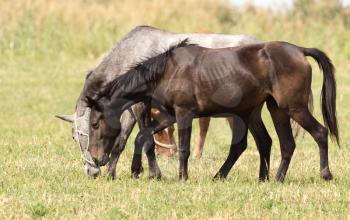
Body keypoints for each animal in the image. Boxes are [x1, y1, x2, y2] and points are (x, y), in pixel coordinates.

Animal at [56, 25, 264, 177]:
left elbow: (143, 139)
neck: (130, 56)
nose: (92, 170)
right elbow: (126, 139)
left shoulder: (140, 106)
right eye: (74, 137)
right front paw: (120, 172)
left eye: (86, 131)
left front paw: (152, 173)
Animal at [86, 40, 338, 181]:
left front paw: (182, 178)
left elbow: (184, 148)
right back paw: (268, 178)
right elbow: (142, 136)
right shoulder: (169, 115)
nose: (96, 158)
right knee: (279, 143)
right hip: (270, 110)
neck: (167, 71)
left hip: (293, 107)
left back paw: (324, 174)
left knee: (319, 133)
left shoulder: (184, 113)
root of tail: (299, 51)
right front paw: (141, 172)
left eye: (95, 123)